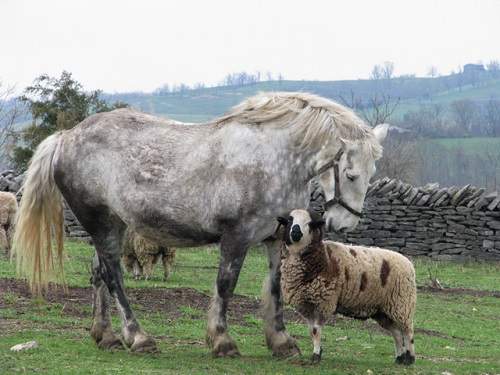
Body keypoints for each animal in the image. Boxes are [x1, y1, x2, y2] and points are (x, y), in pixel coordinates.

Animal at [12, 92, 386, 356]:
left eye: (371, 173)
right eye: (350, 174)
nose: (345, 224)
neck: (272, 158)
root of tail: (66, 136)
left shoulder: (276, 238)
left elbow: (275, 288)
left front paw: (281, 342)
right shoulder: (236, 237)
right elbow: (225, 285)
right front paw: (222, 340)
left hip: (112, 226)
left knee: (98, 274)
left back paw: (106, 336)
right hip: (103, 225)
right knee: (114, 276)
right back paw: (138, 337)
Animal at [280, 210, 416, 366]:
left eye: (310, 223)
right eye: (289, 221)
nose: (295, 231)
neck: (322, 258)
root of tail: (408, 263)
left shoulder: (324, 303)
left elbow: (316, 330)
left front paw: (316, 356)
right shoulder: (306, 305)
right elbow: (311, 331)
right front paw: (317, 352)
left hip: (402, 304)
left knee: (407, 332)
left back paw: (410, 358)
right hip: (383, 311)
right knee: (397, 334)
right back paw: (399, 358)